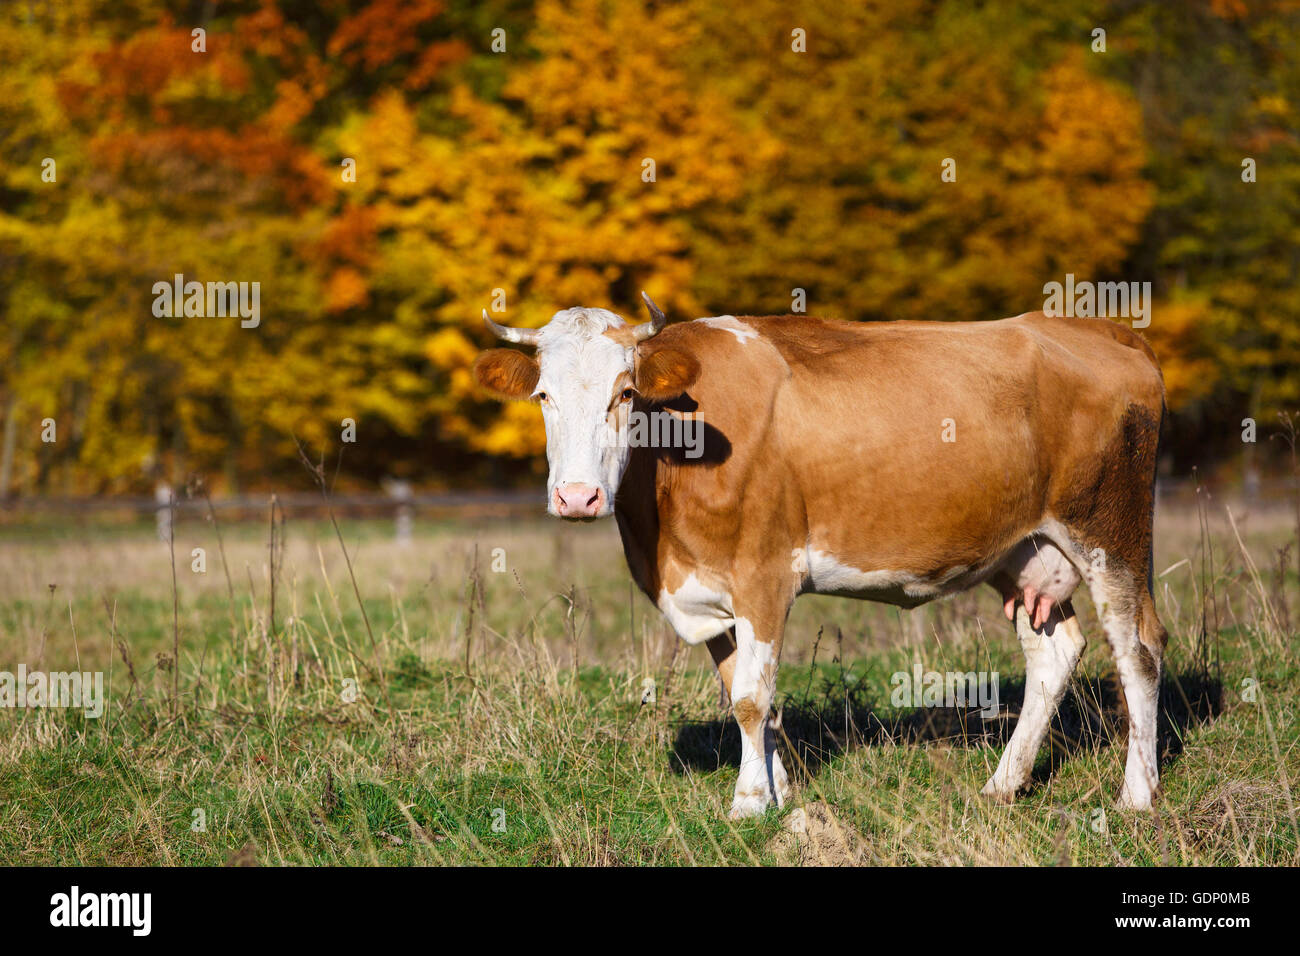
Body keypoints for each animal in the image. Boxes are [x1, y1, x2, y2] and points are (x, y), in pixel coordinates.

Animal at [475, 295, 1170, 816]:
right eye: (543, 395)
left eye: (624, 392)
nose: (577, 496)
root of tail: (1098, 328)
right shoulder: (709, 589)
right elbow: (745, 693)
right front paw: (777, 792)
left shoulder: (762, 575)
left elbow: (753, 697)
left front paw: (748, 803)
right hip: (1024, 549)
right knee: (1054, 653)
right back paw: (1002, 784)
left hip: (1111, 534)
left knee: (1138, 650)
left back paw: (1137, 795)